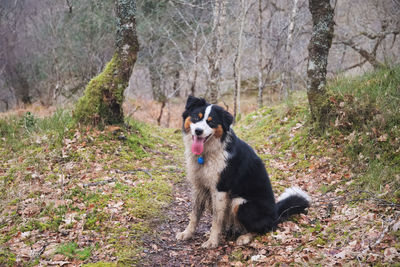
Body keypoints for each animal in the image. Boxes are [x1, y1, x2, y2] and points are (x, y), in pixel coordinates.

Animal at [177, 96, 310, 249]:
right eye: (195, 117)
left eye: (211, 122)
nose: (198, 131)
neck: (207, 153)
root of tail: (276, 214)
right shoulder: (198, 186)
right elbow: (194, 214)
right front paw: (187, 233)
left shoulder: (220, 189)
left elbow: (216, 219)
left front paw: (212, 241)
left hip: (240, 203)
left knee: (266, 228)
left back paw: (244, 237)